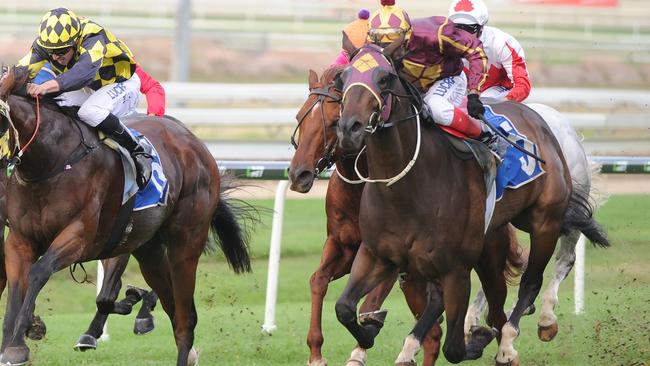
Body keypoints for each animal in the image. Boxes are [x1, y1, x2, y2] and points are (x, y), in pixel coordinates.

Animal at [0, 66, 253, 366]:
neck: (52, 164)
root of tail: (194, 142)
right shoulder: (19, 240)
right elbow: (16, 292)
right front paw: (15, 343)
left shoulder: (79, 237)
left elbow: (39, 272)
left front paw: (25, 335)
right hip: (148, 249)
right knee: (170, 307)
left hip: (185, 243)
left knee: (184, 319)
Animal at [288, 67, 520, 364]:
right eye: (300, 117)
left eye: (332, 122)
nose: (299, 175)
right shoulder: (344, 244)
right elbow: (318, 280)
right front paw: (316, 351)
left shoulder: (390, 257)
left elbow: (370, 303)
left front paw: (364, 339)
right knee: (434, 333)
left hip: (480, 258)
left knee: (490, 315)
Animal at [334, 38, 608, 364]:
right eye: (342, 78)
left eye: (384, 78)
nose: (349, 128)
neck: (405, 189)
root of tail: (542, 121)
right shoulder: (378, 254)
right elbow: (344, 308)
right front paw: (369, 332)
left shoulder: (456, 269)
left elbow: (454, 349)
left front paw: (479, 337)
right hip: (494, 236)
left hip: (544, 221)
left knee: (536, 278)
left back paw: (522, 333)